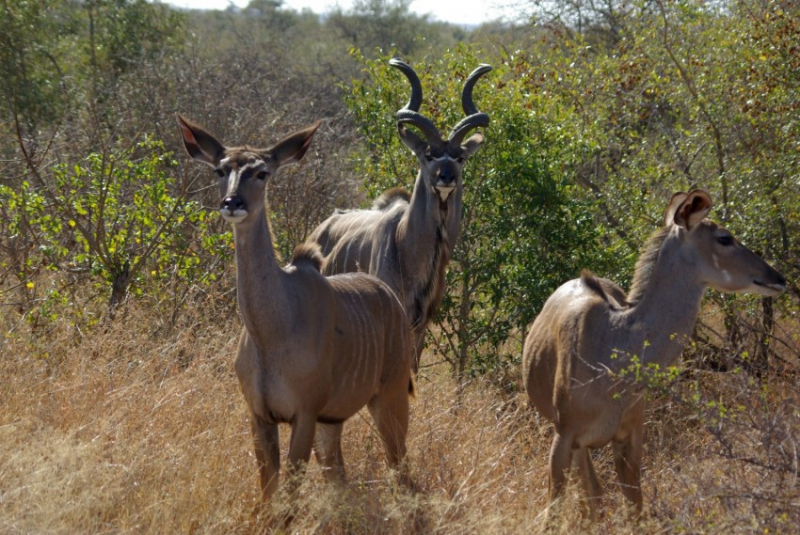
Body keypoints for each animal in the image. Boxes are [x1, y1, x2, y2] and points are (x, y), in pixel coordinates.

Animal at [175, 115, 412, 504]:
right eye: (220, 169)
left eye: (262, 172)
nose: (232, 202)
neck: (272, 332)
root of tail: (390, 298)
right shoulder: (260, 415)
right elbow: (269, 496)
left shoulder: (304, 414)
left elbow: (288, 500)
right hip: (334, 422)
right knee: (341, 477)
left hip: (389, 399)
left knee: (401, 470)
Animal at [308, 57, 490, 368]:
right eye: (428, 155)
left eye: (460, 158)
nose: (446, 178)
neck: (406, 246)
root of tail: (321, 227)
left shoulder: (421, 324)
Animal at [520, 191, 784, 520]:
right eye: (725, 238)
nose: (778, 277)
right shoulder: (564, 435)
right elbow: (553, 512)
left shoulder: (630, 436)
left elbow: (635, 509)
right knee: (590, 495)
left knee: (595, 495)